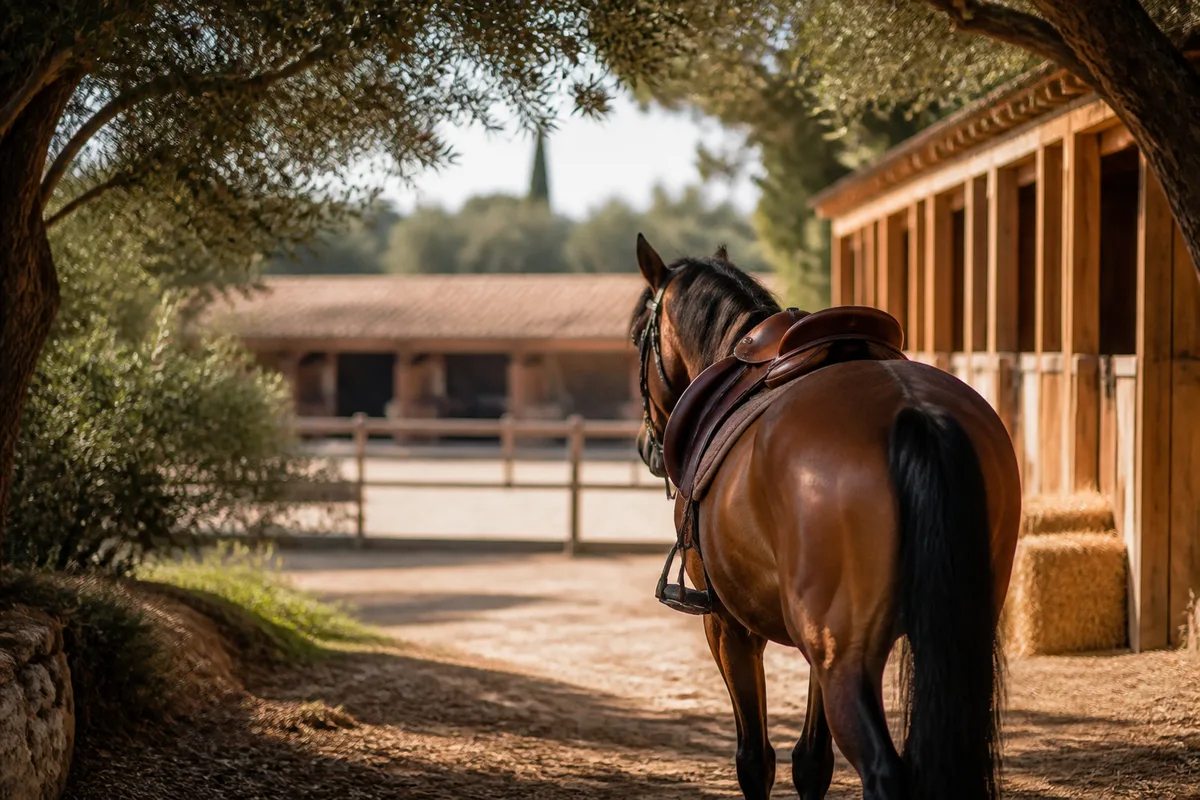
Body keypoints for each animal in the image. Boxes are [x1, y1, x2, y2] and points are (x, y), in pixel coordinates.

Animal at [628, 234, 1021, 800]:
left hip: (845, 662)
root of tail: (915, 411)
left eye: (637, 334)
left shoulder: (727, 626)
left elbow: (756, 760)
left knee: (884, 771)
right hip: (944, 640)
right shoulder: (817, 641)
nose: (645, 445)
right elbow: (812, 761)